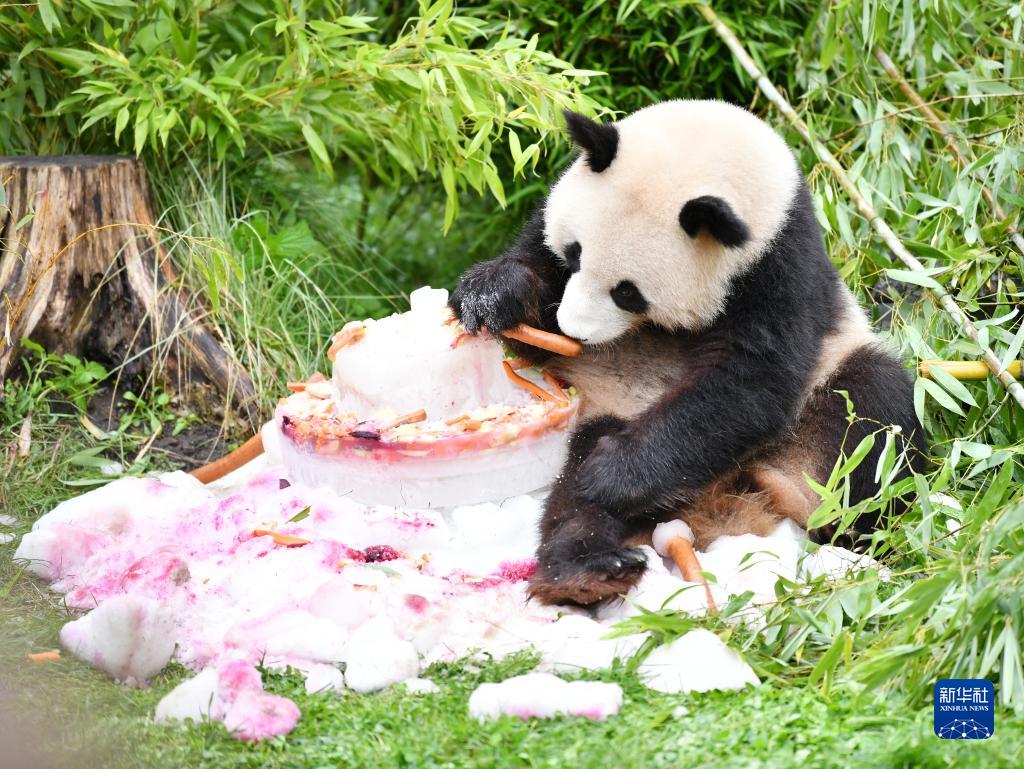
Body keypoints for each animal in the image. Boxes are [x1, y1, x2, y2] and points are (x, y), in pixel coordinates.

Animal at [452, 100, 925, 606]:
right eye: (575, 253)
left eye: (628, 293)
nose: (573, 328)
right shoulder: (548, 220)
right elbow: (531, 303)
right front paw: (494, 296)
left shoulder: (778, 266)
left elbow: (750, 380)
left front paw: (610, 474)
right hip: (611, 415)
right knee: (574, 499)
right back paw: (585, 571)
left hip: (827, 401)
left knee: (875, 414)